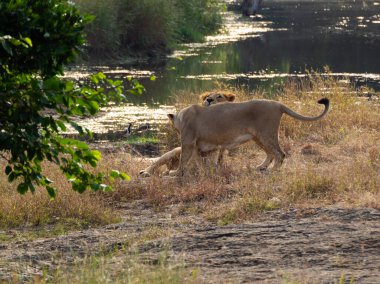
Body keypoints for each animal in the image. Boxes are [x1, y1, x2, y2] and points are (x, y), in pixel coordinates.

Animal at [168, 97, 328, 175]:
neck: (181, 117)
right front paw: (204, 171)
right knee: (270, 153)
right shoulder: (199, 146)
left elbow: (184, 159)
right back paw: (261, 167)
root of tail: (278, 104)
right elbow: (200, 161)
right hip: (258, 137)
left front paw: (175, 172)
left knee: (280, 153)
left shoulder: (188, 142)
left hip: (266, 134)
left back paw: (273, 170)